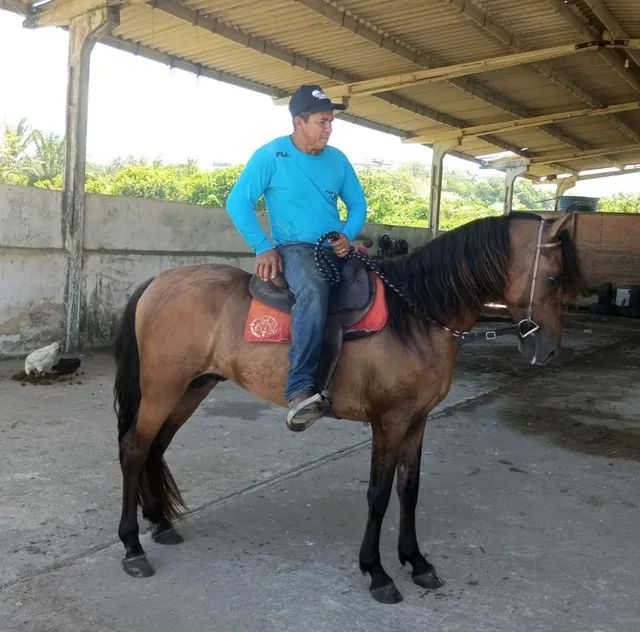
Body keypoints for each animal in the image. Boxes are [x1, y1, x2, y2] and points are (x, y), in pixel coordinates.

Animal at [114, 212, 580, 604]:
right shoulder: (389, 423)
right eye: (554, 277)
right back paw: (133, 547)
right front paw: (378, 573)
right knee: (135, 449)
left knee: (156, 447)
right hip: (163, 387)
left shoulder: (417, 421)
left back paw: (160, 524)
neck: (414, 318)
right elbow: (378, 495)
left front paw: (417, 562)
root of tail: (158, 281)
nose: (549, 350)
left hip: (192, 387)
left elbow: (409, 490)